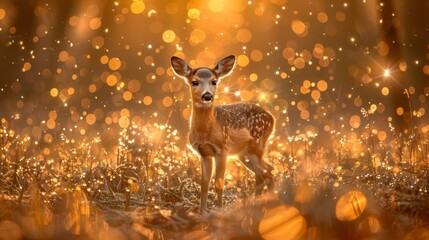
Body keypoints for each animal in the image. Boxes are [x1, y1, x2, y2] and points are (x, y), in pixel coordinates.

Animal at [171, 55, 274, 213]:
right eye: (195, 82)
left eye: (214, 81)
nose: (207, 95)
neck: (206, 133)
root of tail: (272, 118)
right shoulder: (204, 153)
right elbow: (204, 183)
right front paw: (202, 213)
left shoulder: (222, 149)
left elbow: (219, 184)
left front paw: (219, 212)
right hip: (244, 154)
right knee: (266, 172)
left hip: (257, 146)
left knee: (264, 174)